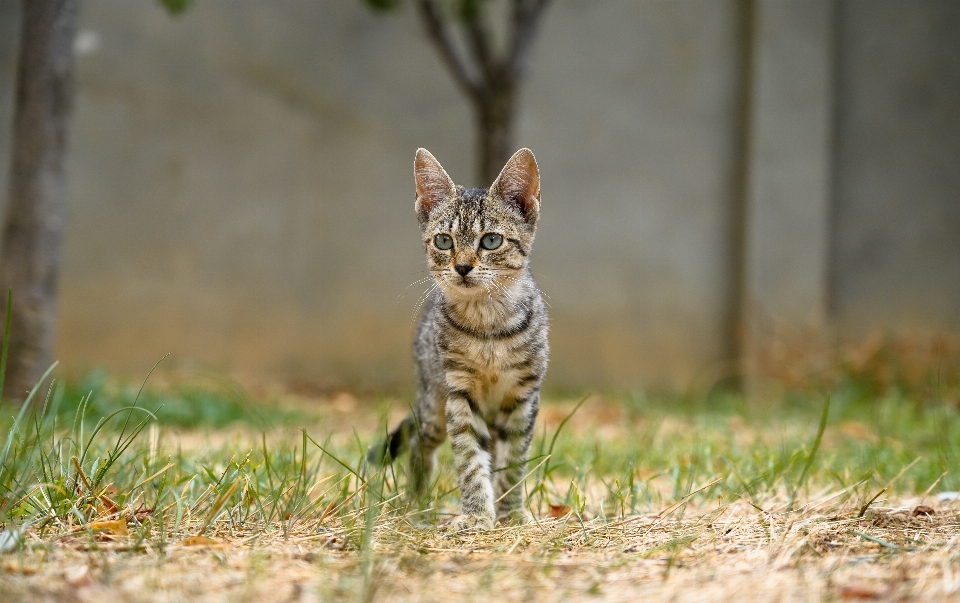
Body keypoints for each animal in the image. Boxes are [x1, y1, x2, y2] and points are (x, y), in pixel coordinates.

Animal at [368, 149, 548, 532]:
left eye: (491, 240)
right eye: (444, 240)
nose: (463, 267)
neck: (488, 328)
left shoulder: (523, 395)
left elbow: (514, 462)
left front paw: (511, 512)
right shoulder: (460, 393)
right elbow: (469, 459)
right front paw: (477, 513)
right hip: (433, 406)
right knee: (420, 444)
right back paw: (416, 502)